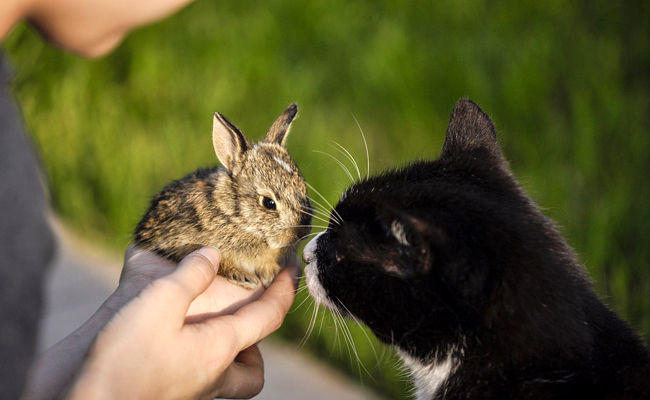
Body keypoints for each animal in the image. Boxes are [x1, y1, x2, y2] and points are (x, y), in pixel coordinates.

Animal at [133, 103, 310, 290]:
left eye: (303, 188)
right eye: (269, 203)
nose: (302, 233)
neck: (234, 216)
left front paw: (270, 272)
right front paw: (244, 277)